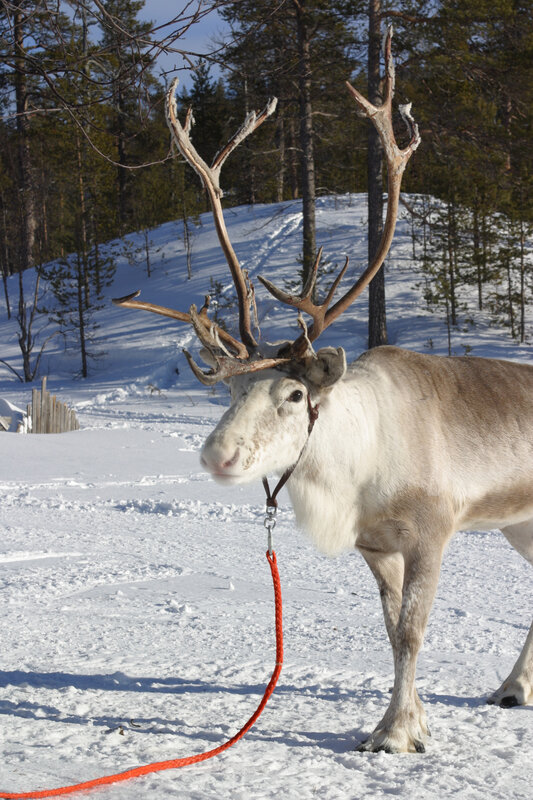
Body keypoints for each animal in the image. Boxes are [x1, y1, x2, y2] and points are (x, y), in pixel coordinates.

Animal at [114, 30, 533, 754]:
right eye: (229, 392)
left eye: (291, 394)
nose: (217, 455)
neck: (357, 472)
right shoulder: (375, 545)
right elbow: (390, 632)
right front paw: (409, 719)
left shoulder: (432, 530)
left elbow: (412, 631)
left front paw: (396, 733)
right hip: (520, 522)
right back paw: (513, 687)